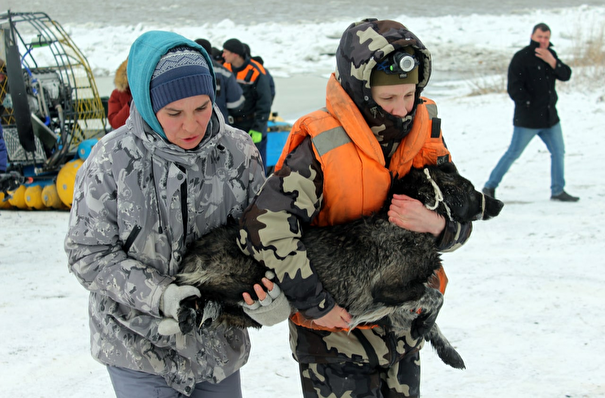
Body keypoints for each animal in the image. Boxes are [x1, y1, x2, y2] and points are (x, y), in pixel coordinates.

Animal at [176, 162, 504, 370]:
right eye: (467, 190)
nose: (498, 204)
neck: (405, 228)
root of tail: (197, 248)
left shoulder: (396, 308)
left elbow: (432, 316)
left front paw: (448, 351)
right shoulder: (391, 290)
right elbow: (436, 298)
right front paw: (425, 326)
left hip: (244, 310)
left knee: (211, 305)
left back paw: (195, 314)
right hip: (243, 280)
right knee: (193, 290)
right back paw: (185, 310)